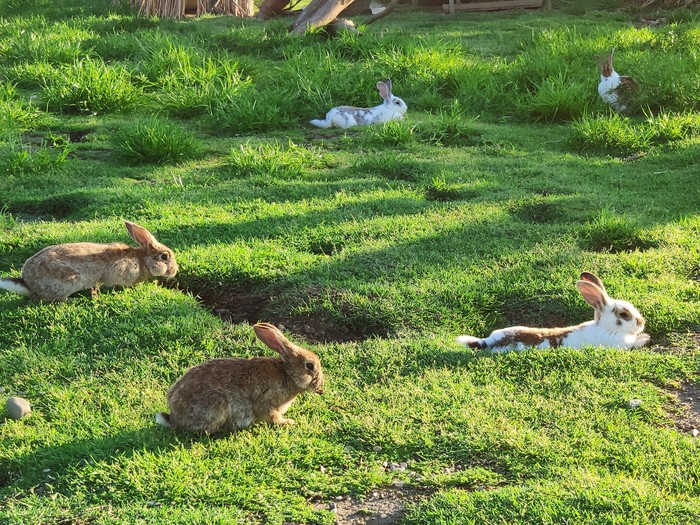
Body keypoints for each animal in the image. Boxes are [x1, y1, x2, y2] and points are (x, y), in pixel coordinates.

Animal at [156, 322, 326, 432]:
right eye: (309, 366)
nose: (321, 388)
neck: (286, 373)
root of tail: (174, 417)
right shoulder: (267, 403)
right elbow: (272, 417)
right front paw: (289, 422)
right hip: (217, 402)